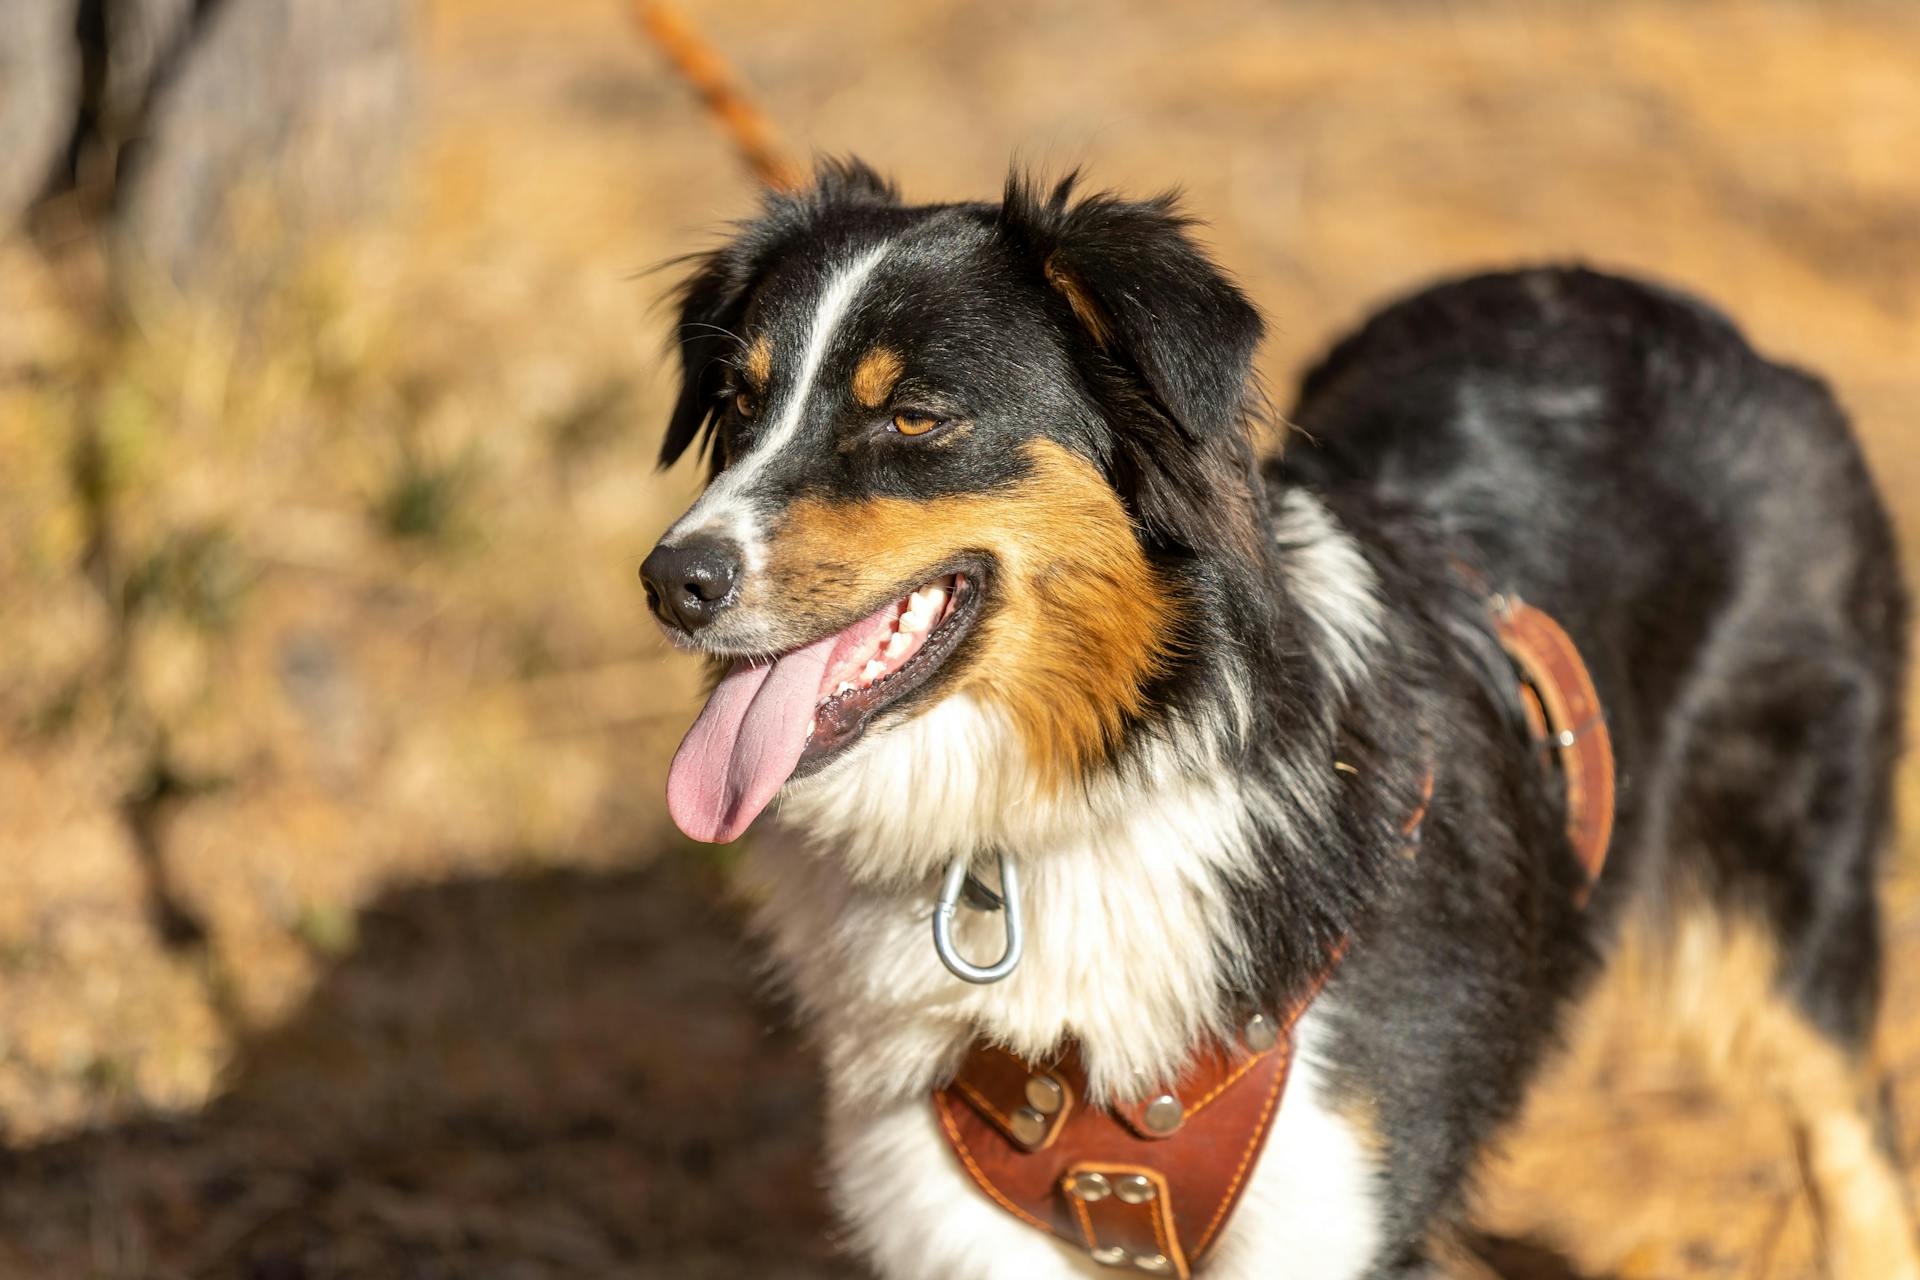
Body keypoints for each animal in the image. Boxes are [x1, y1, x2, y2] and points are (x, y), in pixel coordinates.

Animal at [637, 163, 1912, 1280]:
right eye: (738, 405)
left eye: (912, 417)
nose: (672, 582)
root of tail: (1692, 316)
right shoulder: (956, 1211)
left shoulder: (1335, 1195)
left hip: (1780, 897)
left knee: (1850, 1127)